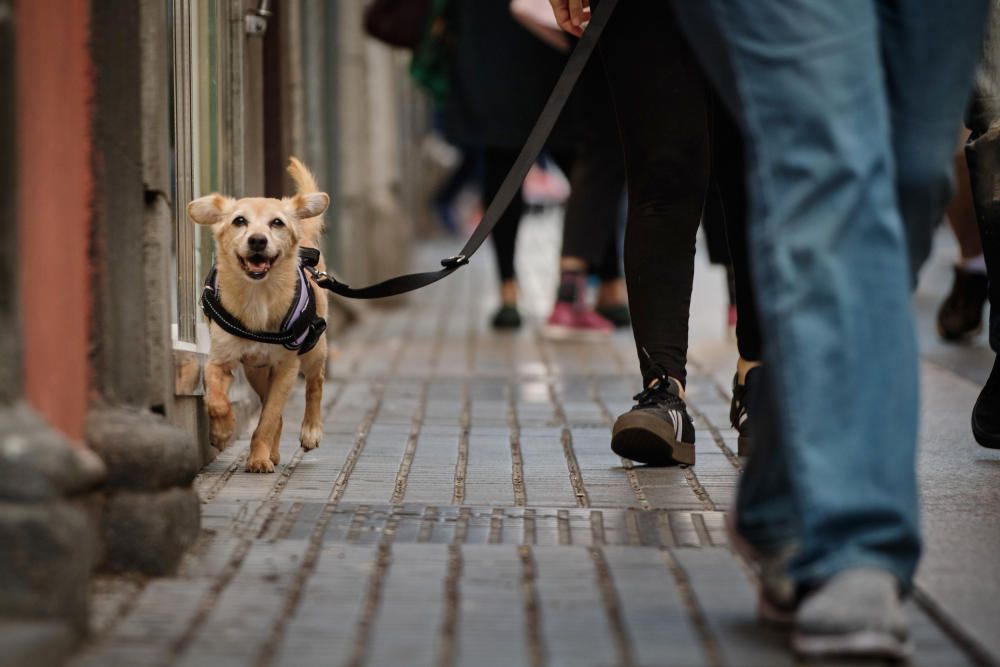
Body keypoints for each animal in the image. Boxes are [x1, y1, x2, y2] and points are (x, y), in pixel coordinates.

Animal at [186, 157, 330, 472]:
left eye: (277, 223)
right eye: (239, 221)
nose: (257, 240)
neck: (257, 298)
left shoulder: (287, 369)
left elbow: (268, 418)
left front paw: (259, 457)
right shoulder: (219, 360)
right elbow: (217, 400)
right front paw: (223, 431)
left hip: (313, 349)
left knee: (315, 382)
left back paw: (311, 430)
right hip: (255, 371)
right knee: (275, 412)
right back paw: (273, 451)